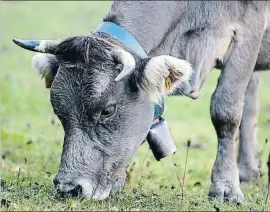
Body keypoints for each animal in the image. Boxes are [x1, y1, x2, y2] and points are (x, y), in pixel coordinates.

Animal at [12, 0, 270, 203]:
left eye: (107, 110)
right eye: (59, 112)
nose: (69, 188)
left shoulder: (249, 30)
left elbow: (226, 110)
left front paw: (225, 187)